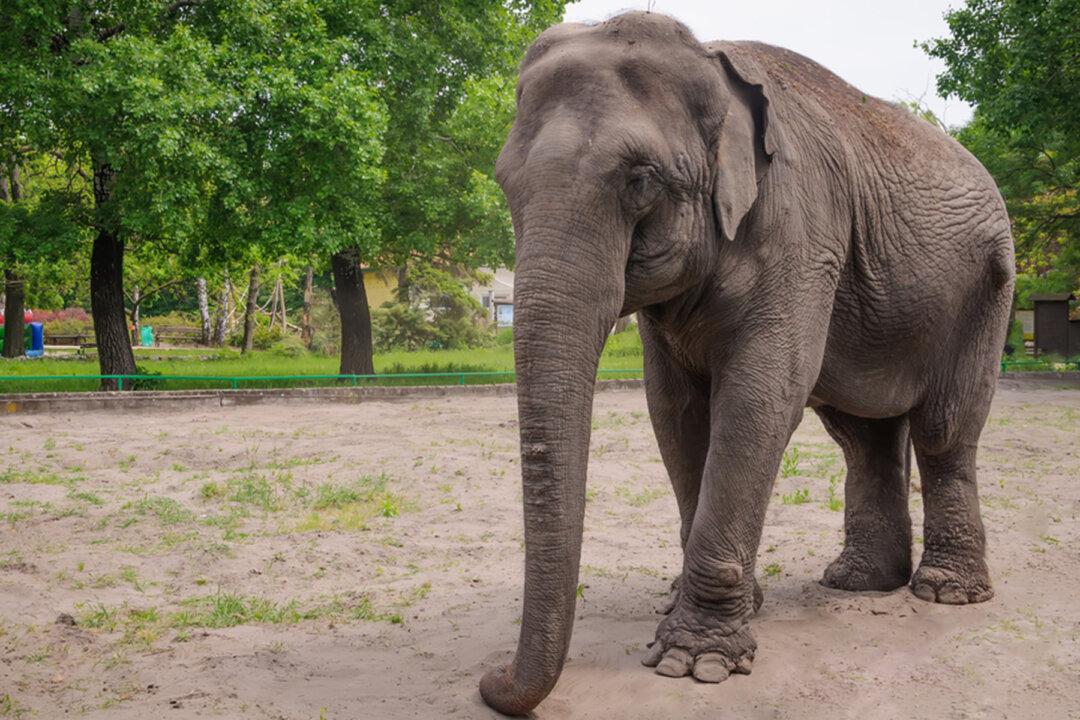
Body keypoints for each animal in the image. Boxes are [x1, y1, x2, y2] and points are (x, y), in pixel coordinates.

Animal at [479, 12, 1015, 716]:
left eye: (640, 180)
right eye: (505, 184)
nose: (490, 682)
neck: (709, 59)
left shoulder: (802, 231)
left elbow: (761, 397)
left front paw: (692, 661)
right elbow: (674, 410)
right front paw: (698, 608)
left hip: (985, 291)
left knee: (945, 430)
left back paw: (945, 593)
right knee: (863, 436)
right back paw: (858, 583)